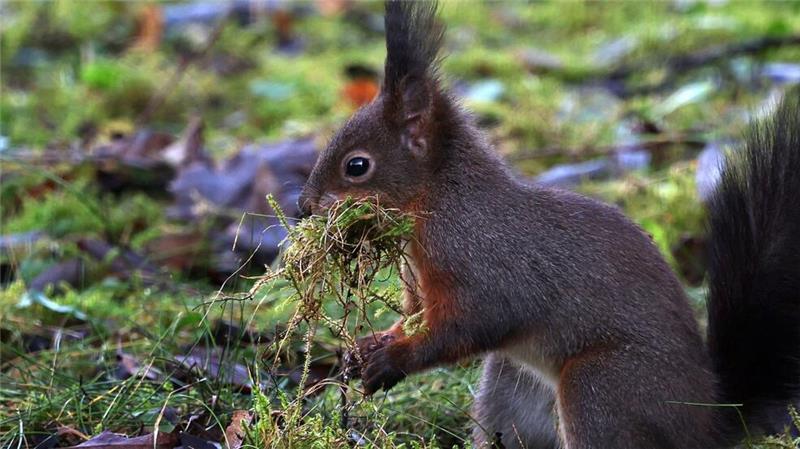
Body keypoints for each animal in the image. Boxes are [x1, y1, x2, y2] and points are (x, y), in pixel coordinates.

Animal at [297, 1, 800, 448]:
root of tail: (707, 422)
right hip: (509, 384)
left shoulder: (483, 263)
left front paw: (392, 360)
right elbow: (414, 316)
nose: (304, 206)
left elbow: (473, 322)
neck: (439, 202)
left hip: (600, 388)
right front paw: (365, 347)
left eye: (357, 166)